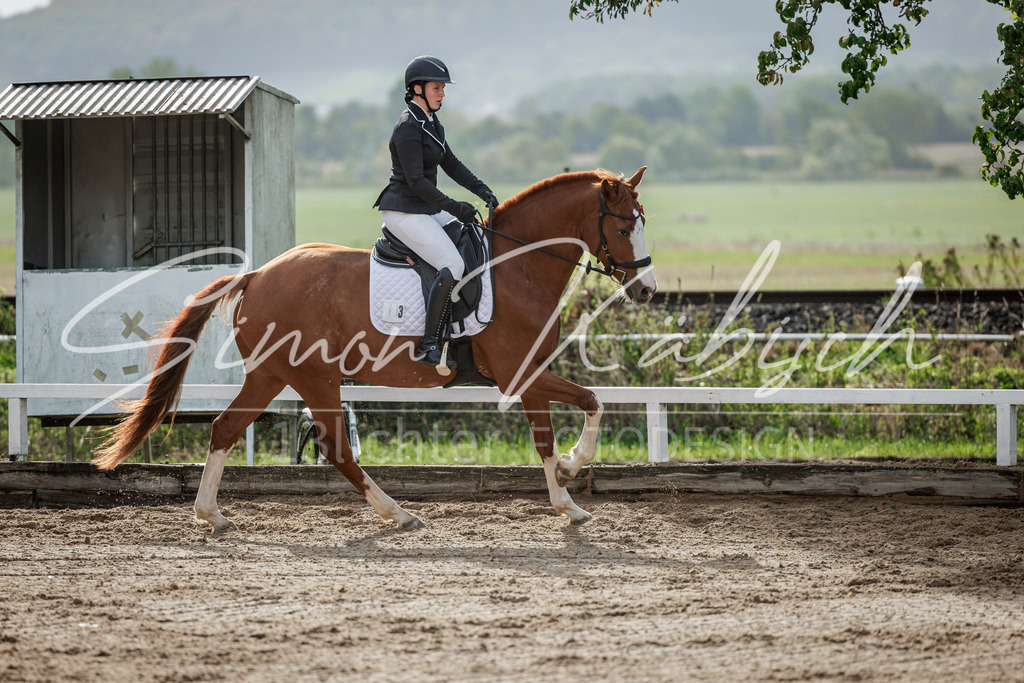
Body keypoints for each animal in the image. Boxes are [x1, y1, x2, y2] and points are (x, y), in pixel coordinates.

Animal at [93, 167, 657, 530]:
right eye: (622, 225)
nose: (647, 291)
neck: (515, 265)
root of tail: (258, 275)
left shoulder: (531, 373)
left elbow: (553, 432)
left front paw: (567, 496)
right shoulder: (518, 372)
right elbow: (585, 406)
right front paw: (571, 473)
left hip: (271, 375)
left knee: (226, 429)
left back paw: (211, 515)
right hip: (314, 376)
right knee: (335, 447)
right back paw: (399, 514)